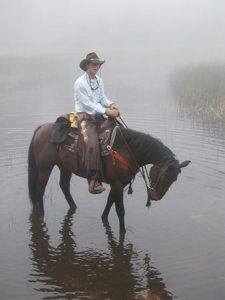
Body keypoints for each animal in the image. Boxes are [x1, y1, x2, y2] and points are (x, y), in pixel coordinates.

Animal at [27, 118, 190, 233]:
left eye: (174, 179)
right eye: (164, 176)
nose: (156, 196)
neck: (127, 149)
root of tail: (41, 128)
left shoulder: (120, 183)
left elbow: (110, 202)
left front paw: (104, 217)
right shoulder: (117, 183)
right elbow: (120, 210)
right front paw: (123, 231)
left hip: (64, 167)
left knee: (64, 186)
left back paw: (73, 206)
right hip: (45, 168)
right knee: (40, 190)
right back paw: (41, 214)